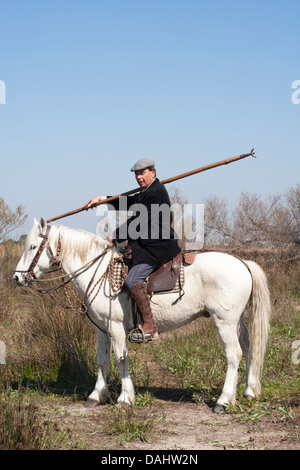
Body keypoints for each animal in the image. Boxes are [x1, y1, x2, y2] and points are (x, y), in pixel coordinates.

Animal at [12, 217, 270, 412]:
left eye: (33, 247)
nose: (16, 277)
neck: (99, 271)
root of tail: (242, 262)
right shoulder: (101, 329)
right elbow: (102, 360)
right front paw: (97, 395)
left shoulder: (116, 328)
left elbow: (121, 359)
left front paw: (125, 399)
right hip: (236, 322)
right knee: (248, 348)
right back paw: (249, 391)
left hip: (223, 322)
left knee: (234, 355)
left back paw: (223, 401)